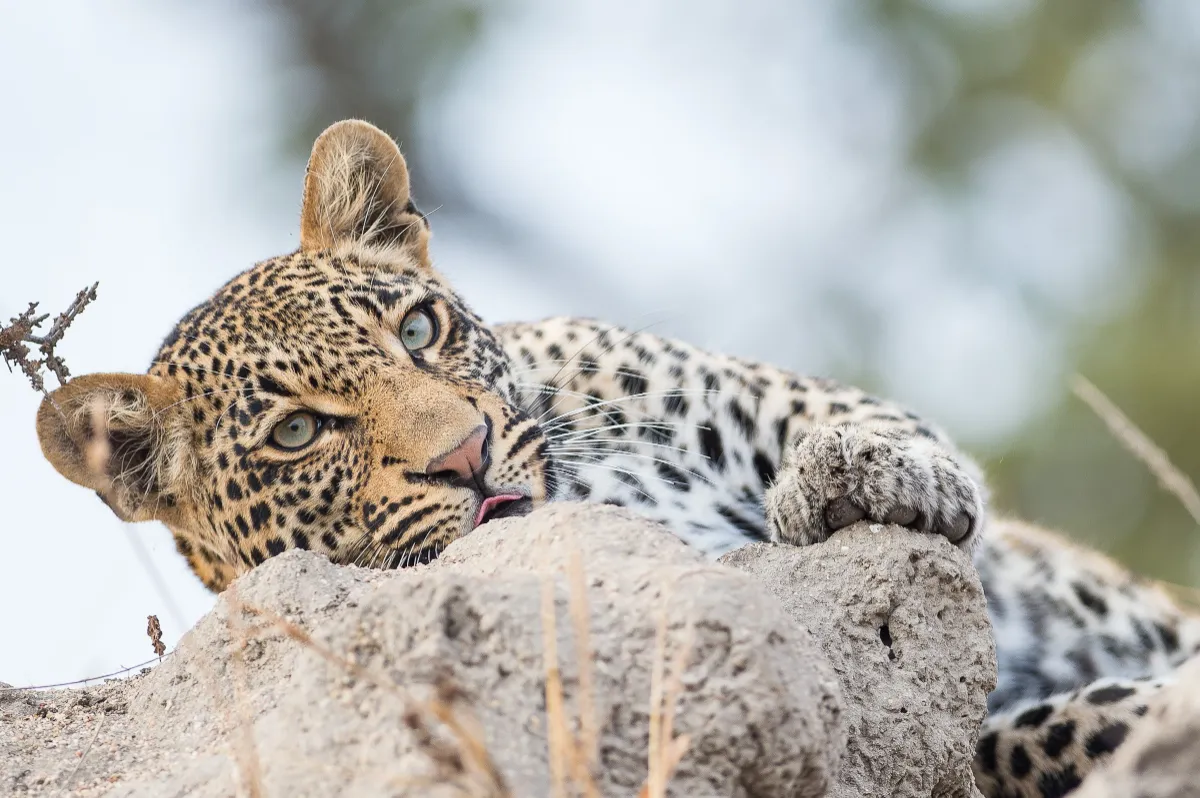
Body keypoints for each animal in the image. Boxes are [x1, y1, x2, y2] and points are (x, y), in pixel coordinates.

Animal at [33, 119, 1200, 797]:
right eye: (296, 433)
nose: (466, 454)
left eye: (418, 330)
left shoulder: (726, 389)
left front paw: (859, 473)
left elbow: (846, 417)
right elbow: (1018, 737)